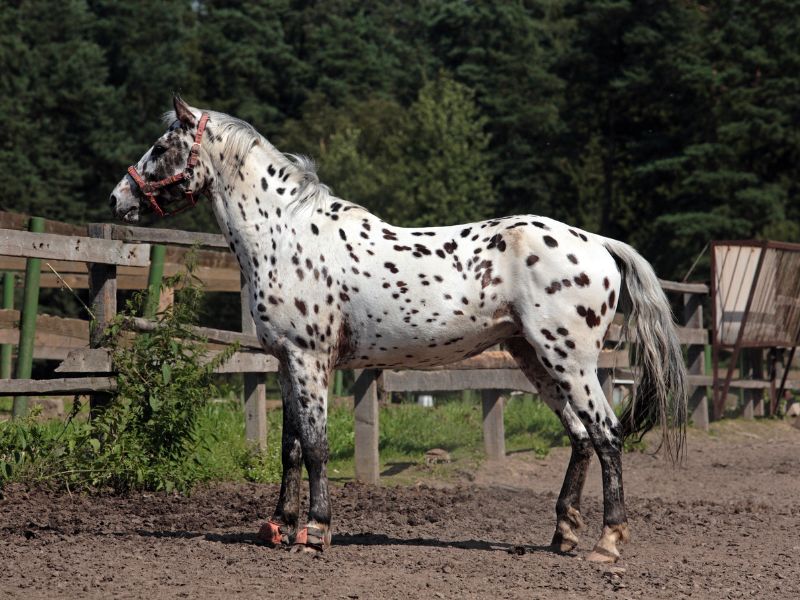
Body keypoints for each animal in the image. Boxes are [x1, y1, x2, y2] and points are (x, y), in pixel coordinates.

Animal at [110, 96, 687, 562]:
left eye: (161, 146)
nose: (118, 199)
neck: (288, 234)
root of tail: (597, 242)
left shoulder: (310, 360)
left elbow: (316, 446)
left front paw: (315, 532)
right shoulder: (286, 363)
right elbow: (290, 447)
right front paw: (278, 527)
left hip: (571, 360)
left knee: (607, 434)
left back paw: (607, 543)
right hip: (534, 359)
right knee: (580, 436)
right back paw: (562, 535)